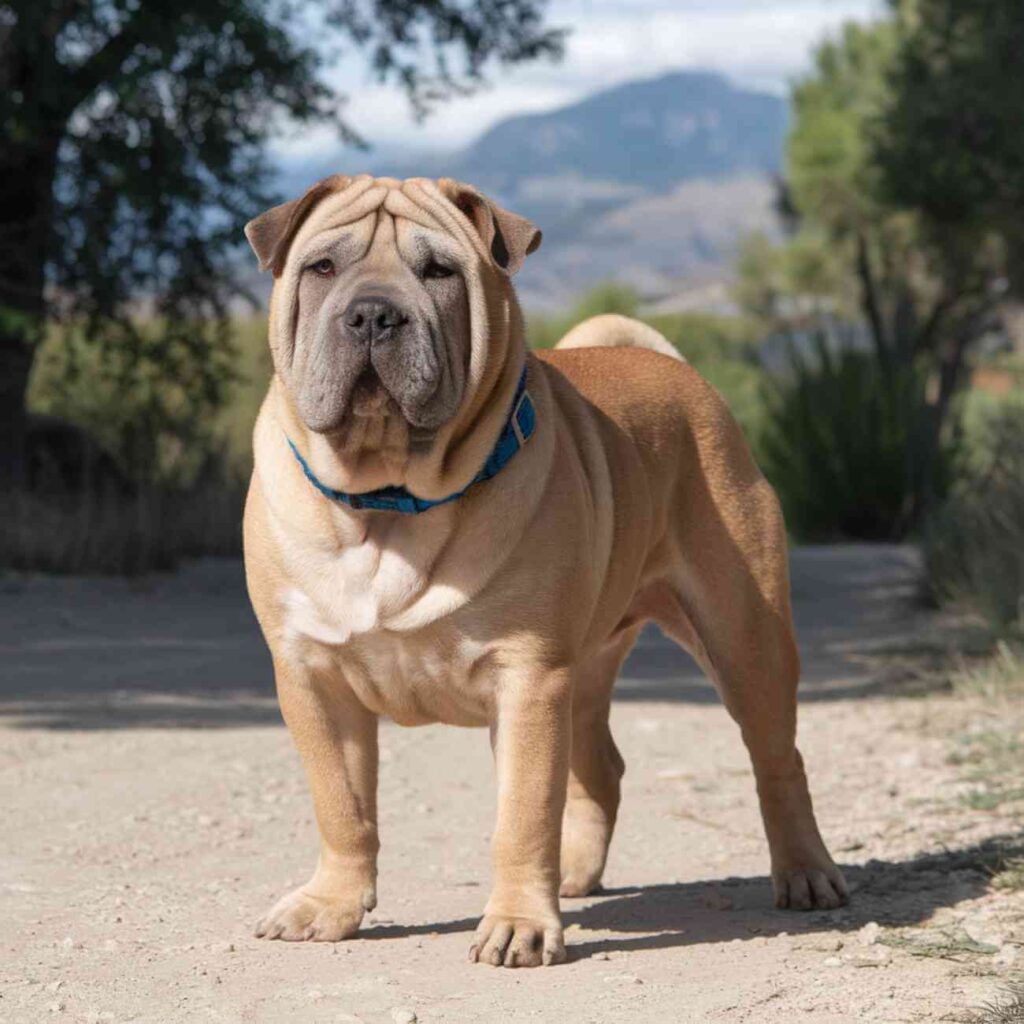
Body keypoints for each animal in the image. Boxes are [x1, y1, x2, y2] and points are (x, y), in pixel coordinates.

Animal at [241, 176, 847, 966]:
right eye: (321, 268)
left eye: (438, 272)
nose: (373, 312)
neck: (389, 501)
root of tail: (680, 373)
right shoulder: (313, 677)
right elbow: (341, 805)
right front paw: (331, 905)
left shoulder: (527, 678)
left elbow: (523, 814)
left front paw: (520, 924)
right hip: (586, 672)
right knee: (601, 769)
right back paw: (579, 873)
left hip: (746, 641)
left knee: (777, 759)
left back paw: (806, 874)